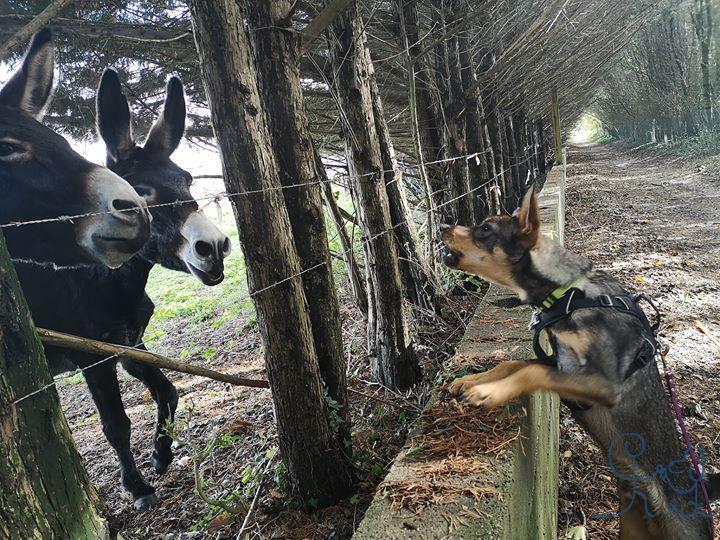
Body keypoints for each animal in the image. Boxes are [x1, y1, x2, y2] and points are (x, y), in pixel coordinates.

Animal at [438, 187, 716, 540]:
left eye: (485, 228)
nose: (441, 225)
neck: (570, 295)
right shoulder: (563, 365)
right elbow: (514, 364)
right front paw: (472, 381)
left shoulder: (602, 383)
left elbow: (530, 370)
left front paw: (488, 393)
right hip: (633, 528)